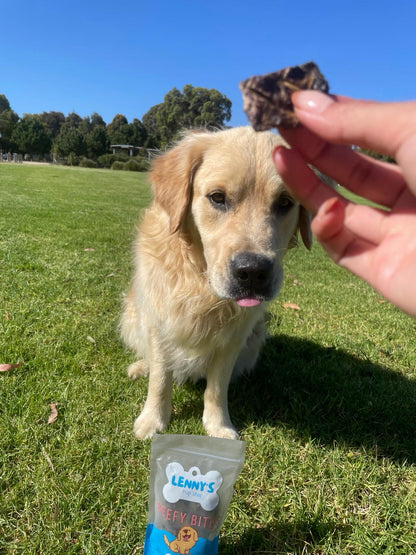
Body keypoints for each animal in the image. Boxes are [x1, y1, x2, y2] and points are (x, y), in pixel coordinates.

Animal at [118, 125, 310, 438]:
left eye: (285, 203)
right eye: (217, 197)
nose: (253, 272)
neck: (201, 281)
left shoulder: (234, 337)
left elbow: (217, 387)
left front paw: (218, 427)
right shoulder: (159, 323)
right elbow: (160, 380)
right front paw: (152, 420)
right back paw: (140, 366)